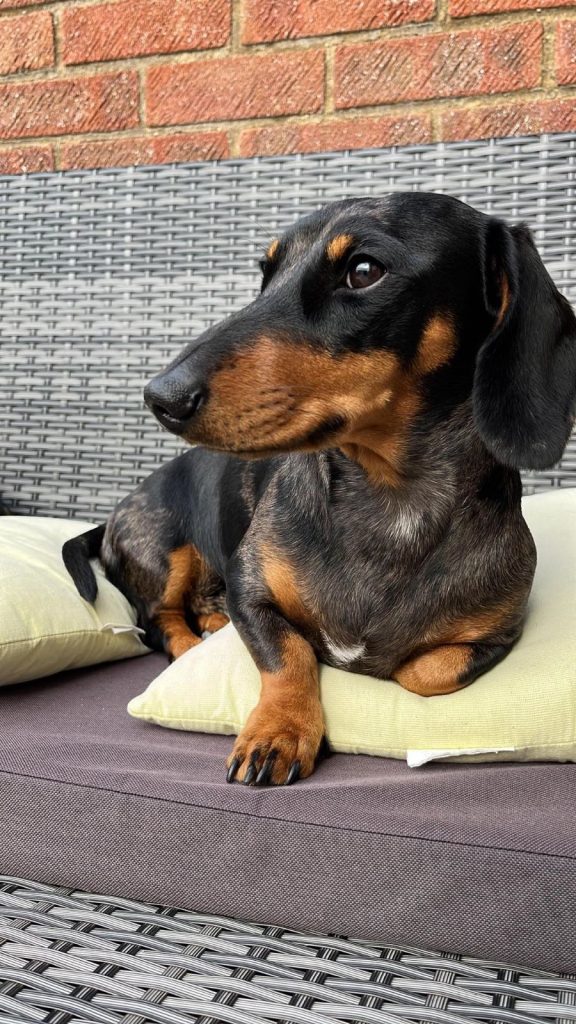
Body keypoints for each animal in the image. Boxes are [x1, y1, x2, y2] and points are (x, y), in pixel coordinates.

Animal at [62, 190, 573, 782]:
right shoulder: (251, 591)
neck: (392, 503)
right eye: (266, 273)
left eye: (364, 271)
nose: (160, 397)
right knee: (158, 618)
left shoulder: (494, 637)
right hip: (166, 550)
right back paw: (195, 640)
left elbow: (421, 673)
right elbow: (290, 654)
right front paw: (278, 732)